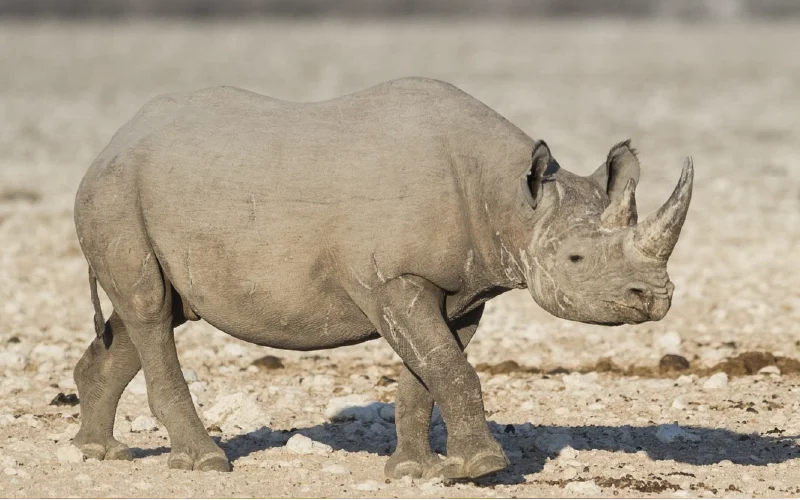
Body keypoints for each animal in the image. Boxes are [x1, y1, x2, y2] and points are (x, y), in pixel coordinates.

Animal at [72, 77, 693, 480]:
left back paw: (98, 453)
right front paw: (482, 469)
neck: (511, 199)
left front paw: (417, 470)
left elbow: (430, 371)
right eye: (576, 261)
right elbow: (450, 368)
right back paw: (203, 465)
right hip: (116, 192)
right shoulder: (391, 278)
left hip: (152, 193)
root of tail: (112, 142)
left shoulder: (461, 290)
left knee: (152, 314)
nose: (655, 299)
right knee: (151, 310)